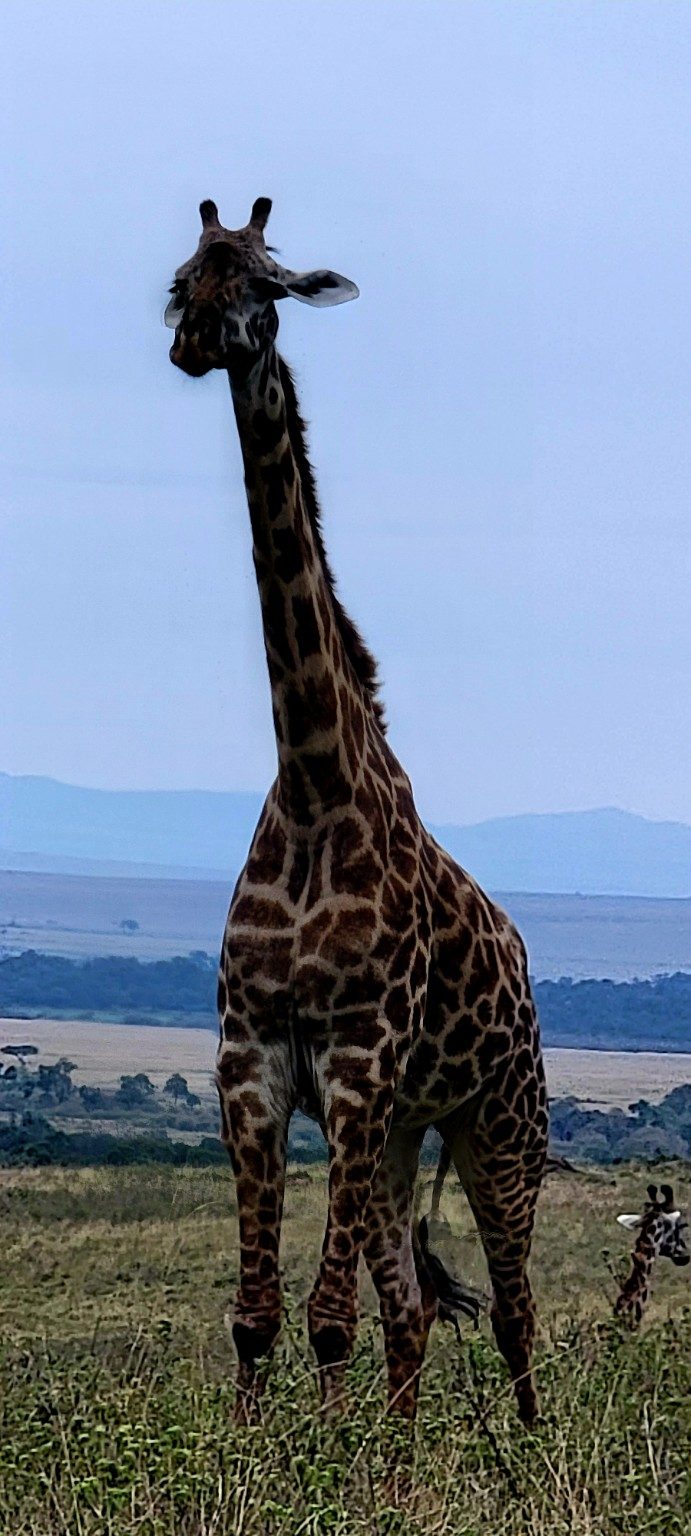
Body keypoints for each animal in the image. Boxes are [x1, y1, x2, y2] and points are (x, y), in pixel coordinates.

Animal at [165, 197, 549, 1425]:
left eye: (268, 286)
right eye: (182, 278)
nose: (196, 341)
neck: (311, 784)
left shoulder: (356, 1059)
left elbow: (322, 1318)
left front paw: (315, 1459)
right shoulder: (253, 1061)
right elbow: (259, 1318)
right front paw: (273, 1457)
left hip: (496, 1121)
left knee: (517, 1312)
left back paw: (522, 1456)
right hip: (396, 1135)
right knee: (412, 1311)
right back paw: (392, 1455)